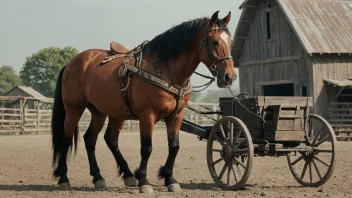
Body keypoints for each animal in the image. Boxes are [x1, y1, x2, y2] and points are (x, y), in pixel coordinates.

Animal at [50, 10, 236, 193]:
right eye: (214, 42)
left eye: (230, 41)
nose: (230, 76)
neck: (166, 70)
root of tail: (73, 62)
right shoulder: (148, 115)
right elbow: (147, 148)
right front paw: (144, 181)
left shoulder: (176, 116)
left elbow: (174, 147)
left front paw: (169, 179)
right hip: (74, 110)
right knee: (66, 138)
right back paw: (64, 178)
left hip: (103, 113)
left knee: (97, 139)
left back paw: (107, 177)